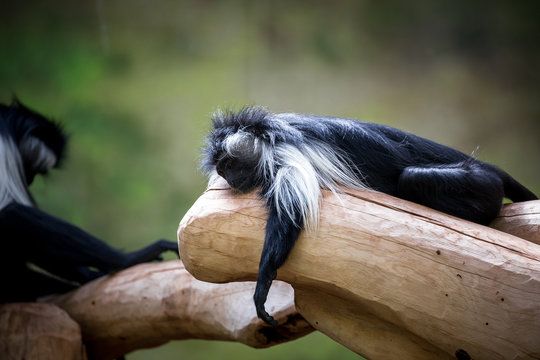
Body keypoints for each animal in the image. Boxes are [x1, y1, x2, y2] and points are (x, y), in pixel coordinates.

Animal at [201, 105, 536, 324]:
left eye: (229, 165)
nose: (230, 180)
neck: (268, 133)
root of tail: (486, 167)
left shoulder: (288, 156)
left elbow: (289, 216)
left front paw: (261, 289)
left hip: (478, 183)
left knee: (414, 179)